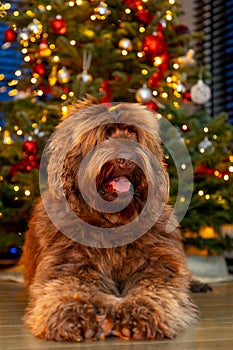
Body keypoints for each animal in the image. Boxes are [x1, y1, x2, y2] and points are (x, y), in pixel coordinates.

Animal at [20, 99, 198, 342]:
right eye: (103, 136)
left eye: (134, 135)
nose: (127, 158)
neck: (112, 223)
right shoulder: (68, 264)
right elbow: (68, 287)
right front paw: (75, 314)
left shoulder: (159, 265)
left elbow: (155, 288)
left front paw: (138, 313)